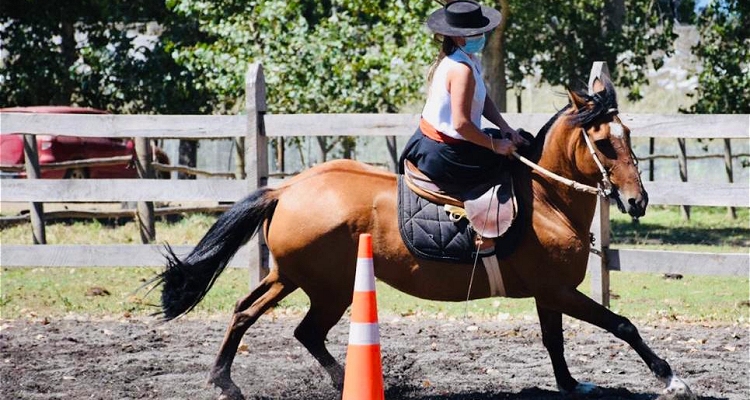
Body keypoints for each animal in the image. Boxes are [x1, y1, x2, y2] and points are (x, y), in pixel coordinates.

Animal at [154, 79, 700, 400]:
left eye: (628, 136)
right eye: (605, 143)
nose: (637, 201)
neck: (547, 199)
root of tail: (287, 188)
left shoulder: (550, 293)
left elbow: (554, 341)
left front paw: (569, 384)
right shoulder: (560, 291)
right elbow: (622, 325)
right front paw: (671, 376)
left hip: (288, 277)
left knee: (249, 313)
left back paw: (226, 380)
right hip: (328, 288)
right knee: (303, 330)